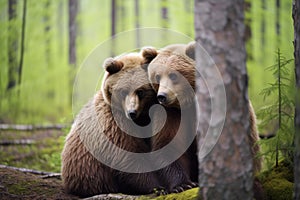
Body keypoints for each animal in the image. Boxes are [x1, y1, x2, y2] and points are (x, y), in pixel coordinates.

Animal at [60, 48, 162, 197]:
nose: (132, 112)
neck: (141, 119)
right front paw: (157, 186)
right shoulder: (114, 124)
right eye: (123, 91)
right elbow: (129, 156)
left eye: (140, 91)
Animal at [142, 41, 262, 192]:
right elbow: (167, 145)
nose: (162, 96)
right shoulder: (171, 114)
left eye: (173, 75)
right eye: (157, 76)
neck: (186, 103)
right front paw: (182, 185)